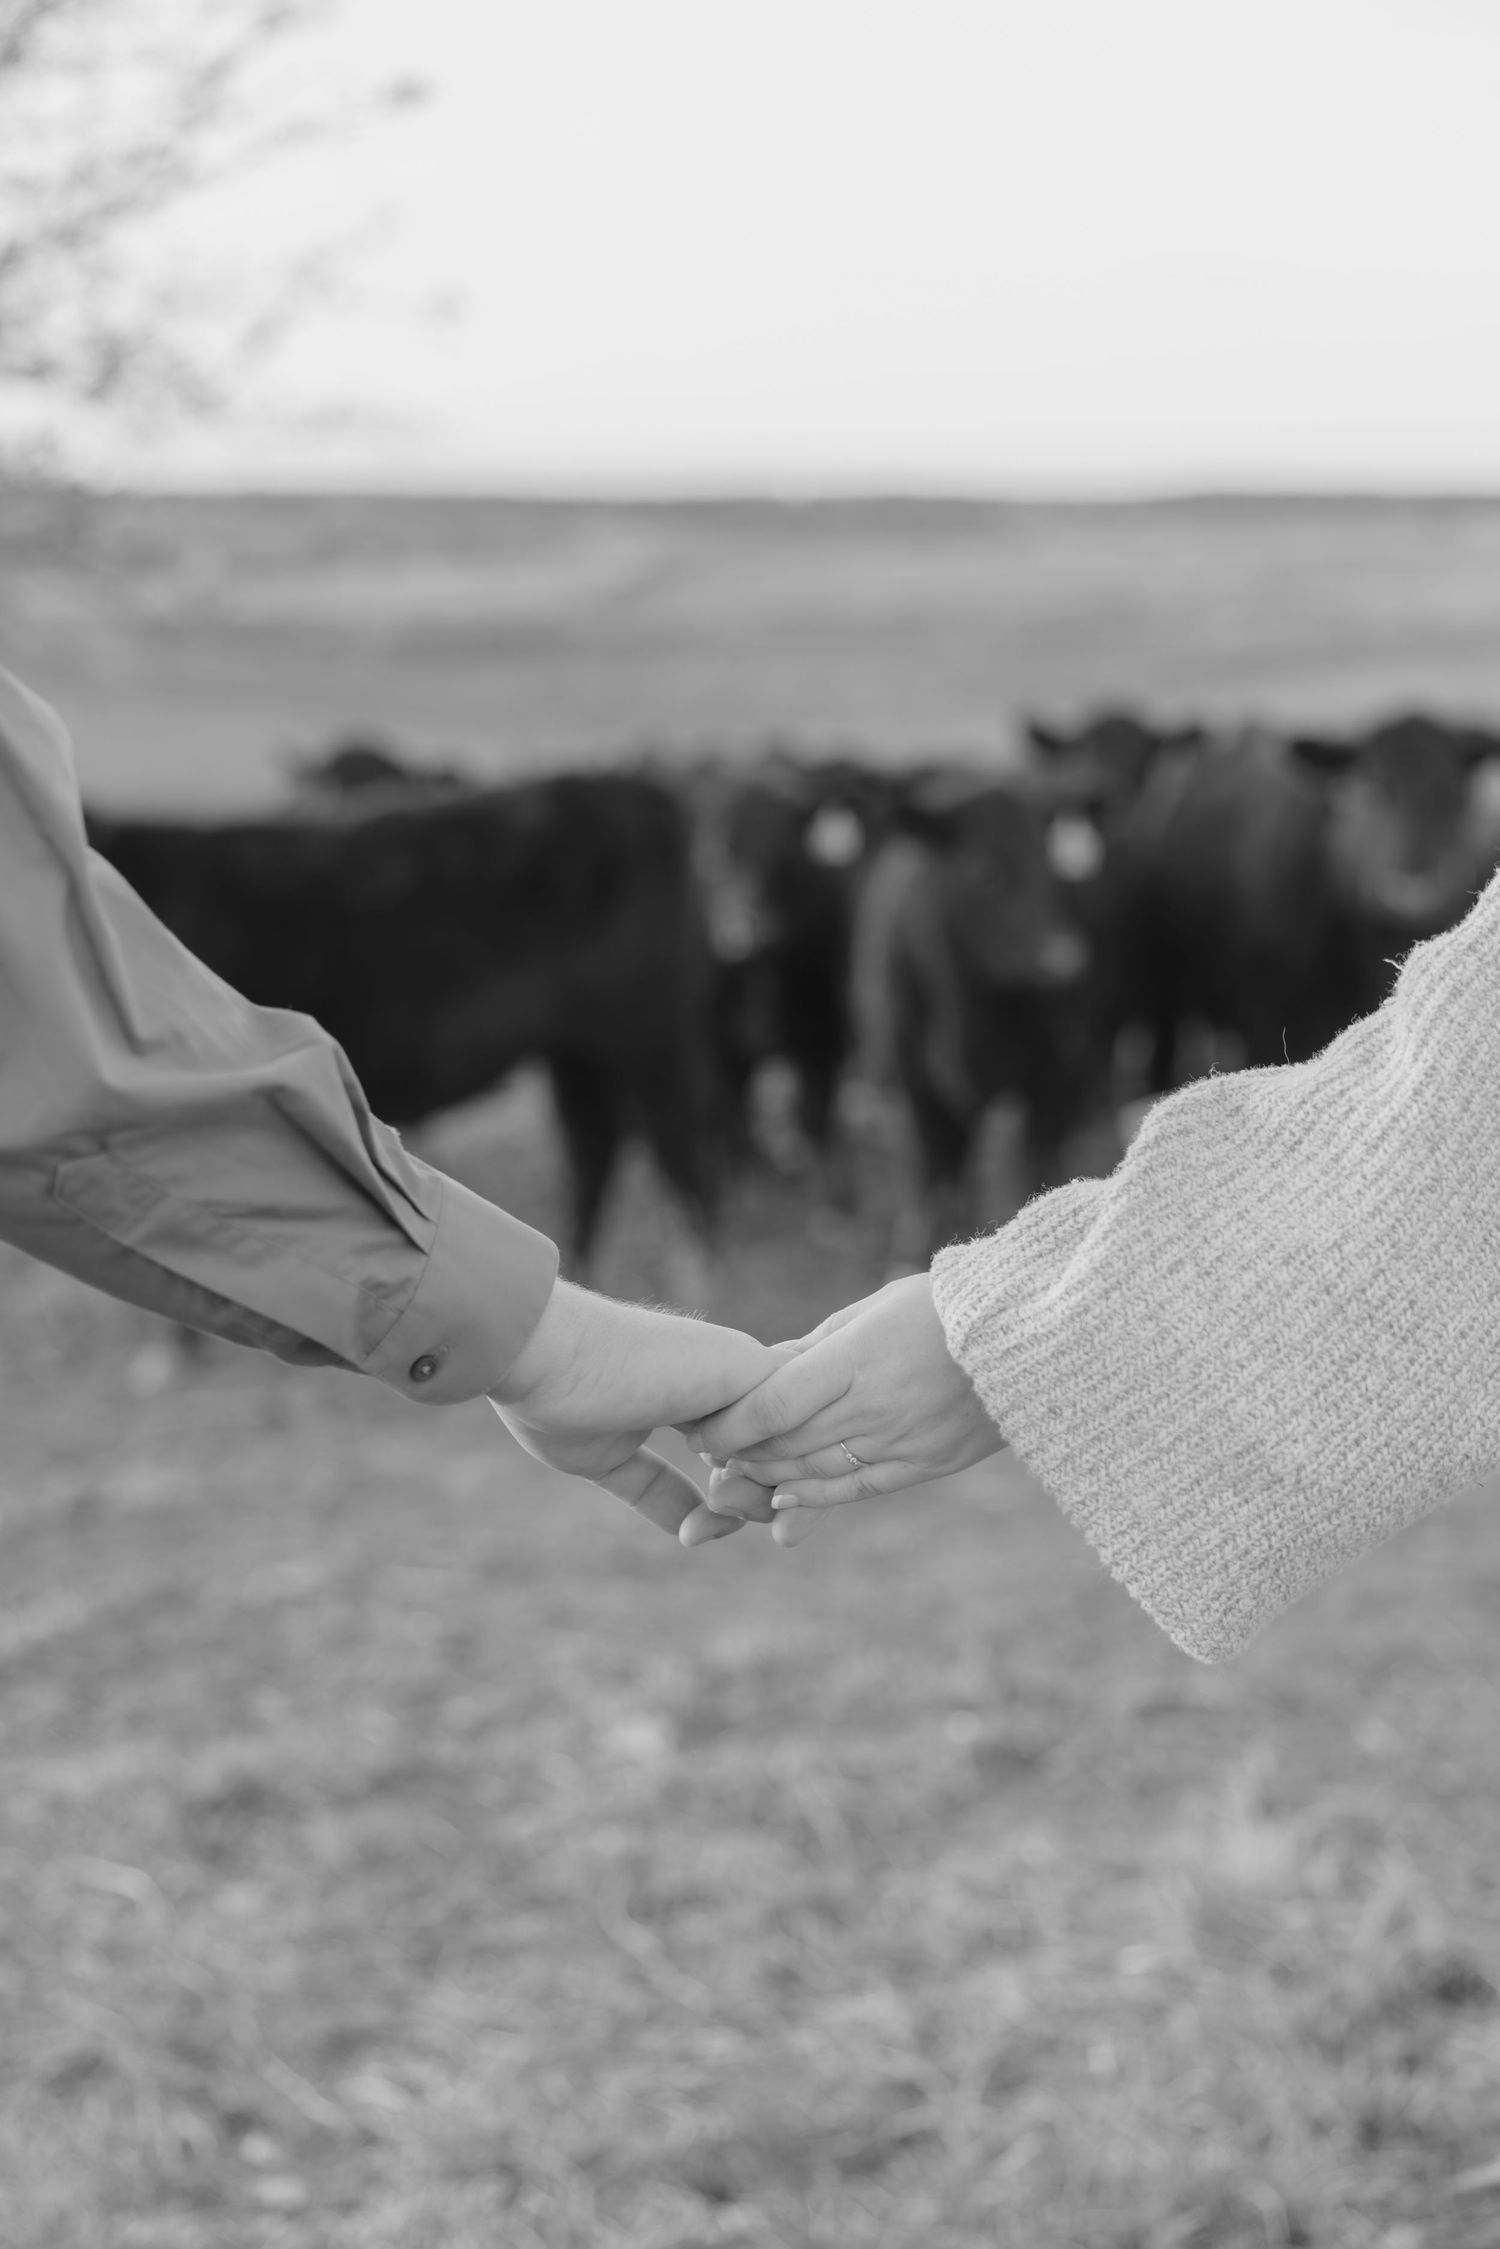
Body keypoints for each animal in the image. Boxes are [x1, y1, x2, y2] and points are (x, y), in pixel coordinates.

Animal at [852, 773, 1113, 1263]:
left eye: (1053, 870)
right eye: (983, 873)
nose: (1064, 963)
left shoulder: (1052, 1077)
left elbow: (1038, 1167)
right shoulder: (916, 1089)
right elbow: (931, 1173)